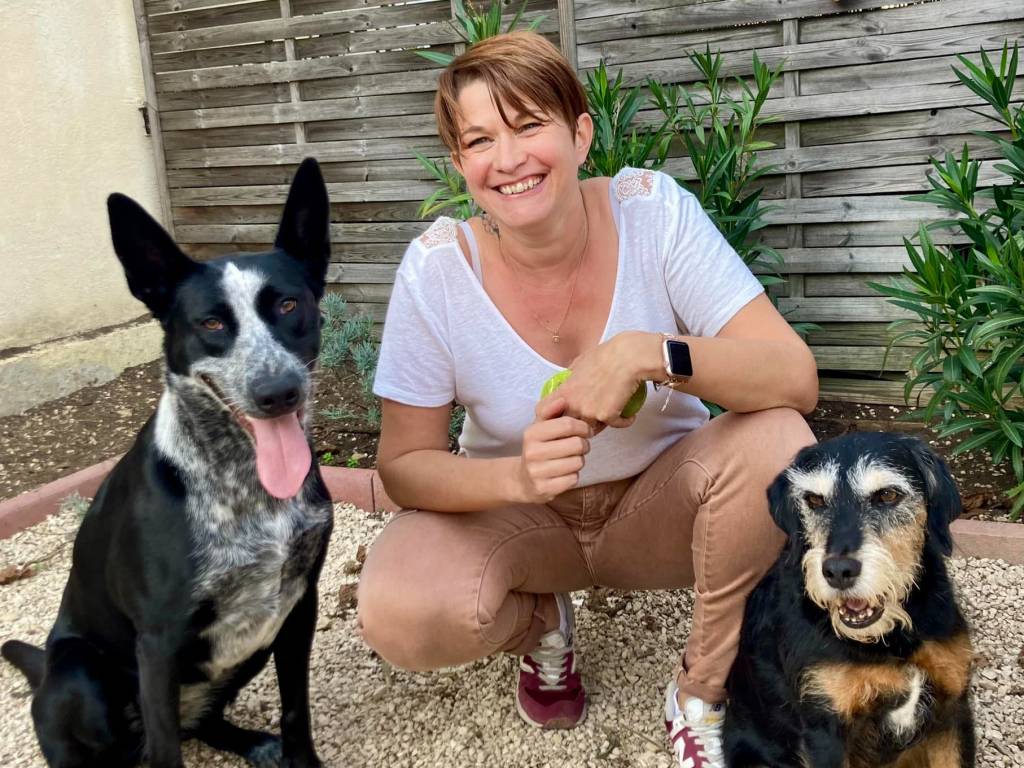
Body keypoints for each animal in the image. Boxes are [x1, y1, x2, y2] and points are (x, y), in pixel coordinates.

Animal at [2, 158, 334, 768]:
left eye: (288, 305)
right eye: (211, 323)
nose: (279, 392)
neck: (245, 488)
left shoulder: (298, 606)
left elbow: (296, 711)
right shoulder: (158, 642)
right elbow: (165, 753)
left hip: (249, 647)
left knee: (202, 724)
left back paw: (252, 742)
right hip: (84, 675)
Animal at [723, 432, 975, 768]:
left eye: (887, 495)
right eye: (814, 500)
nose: (838, 571)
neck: (889, 640)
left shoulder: (953, 711)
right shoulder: (826, 729)